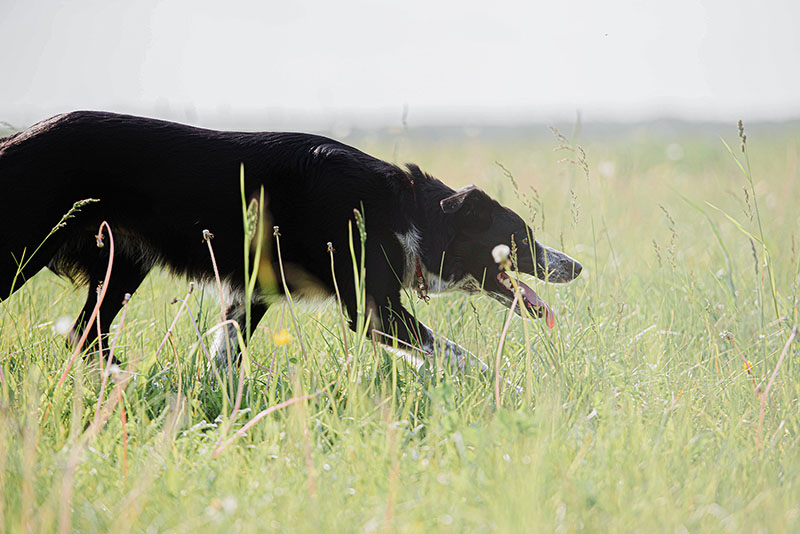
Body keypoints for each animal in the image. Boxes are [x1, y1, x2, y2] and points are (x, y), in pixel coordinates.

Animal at [0, 112, 580, 372]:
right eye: (521, 238)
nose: (574, 267)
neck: (404, 212)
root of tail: (16, 139)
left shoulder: (249, 294)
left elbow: (223, 360)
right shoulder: (374, 310)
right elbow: (461, 355)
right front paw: (510, 390)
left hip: (121, 265)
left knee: (86, 336)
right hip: (21, 255)